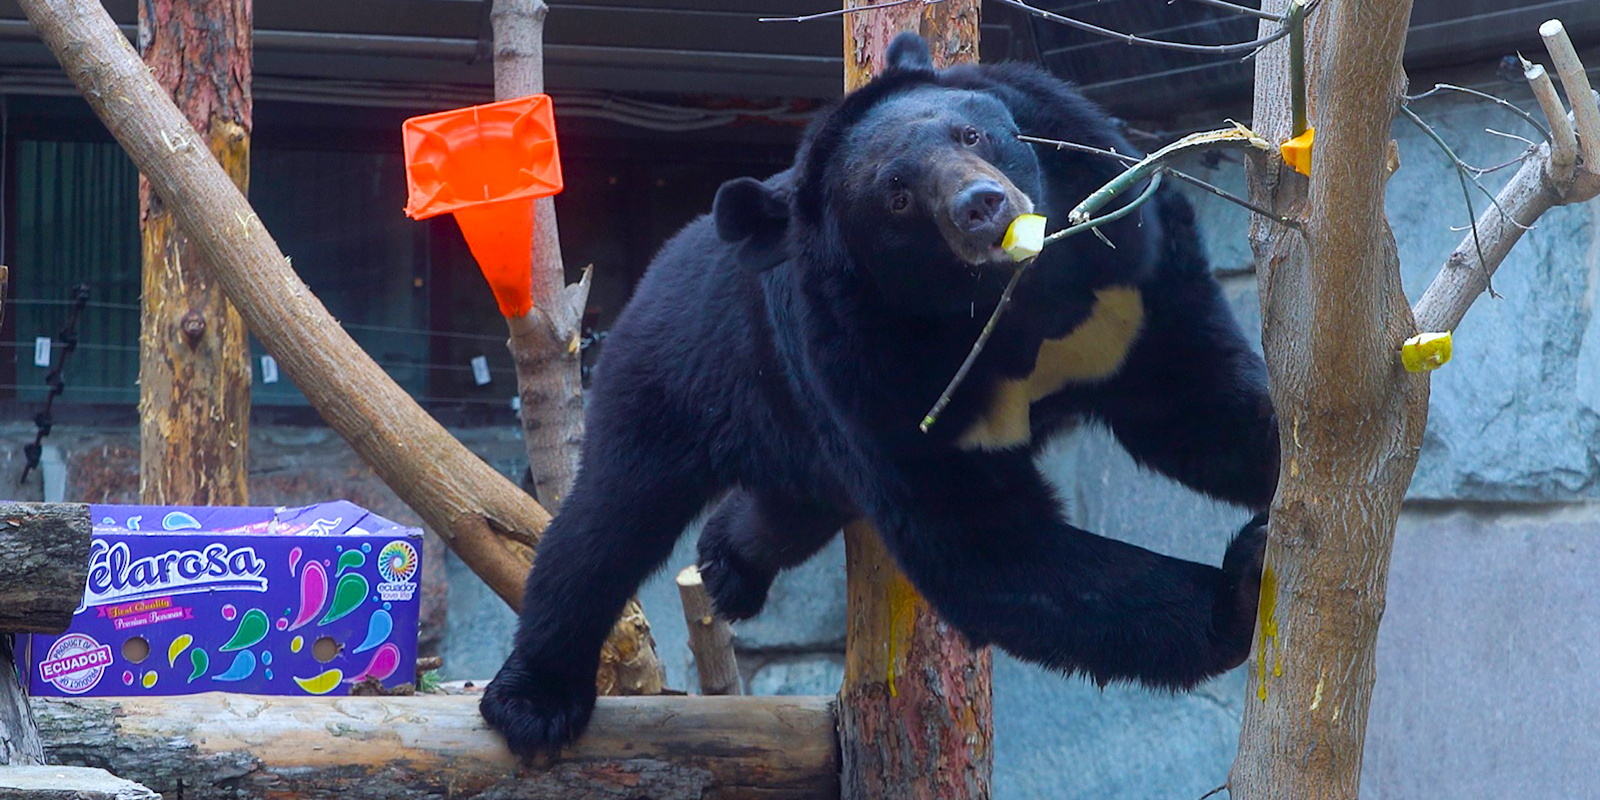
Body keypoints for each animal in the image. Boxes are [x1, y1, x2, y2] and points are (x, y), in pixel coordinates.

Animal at [480, 32, 1280, 755]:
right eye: (896, 195)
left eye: (971, 133)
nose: (983, 205)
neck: (1005, 303)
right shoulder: (872, 374)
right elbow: (985, 544)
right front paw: (1239, 589)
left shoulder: (1127, 287)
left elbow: (1198, 403)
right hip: (676, 373)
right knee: (606, 523)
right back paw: (533, 700)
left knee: (781, 509)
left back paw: (727, 564)